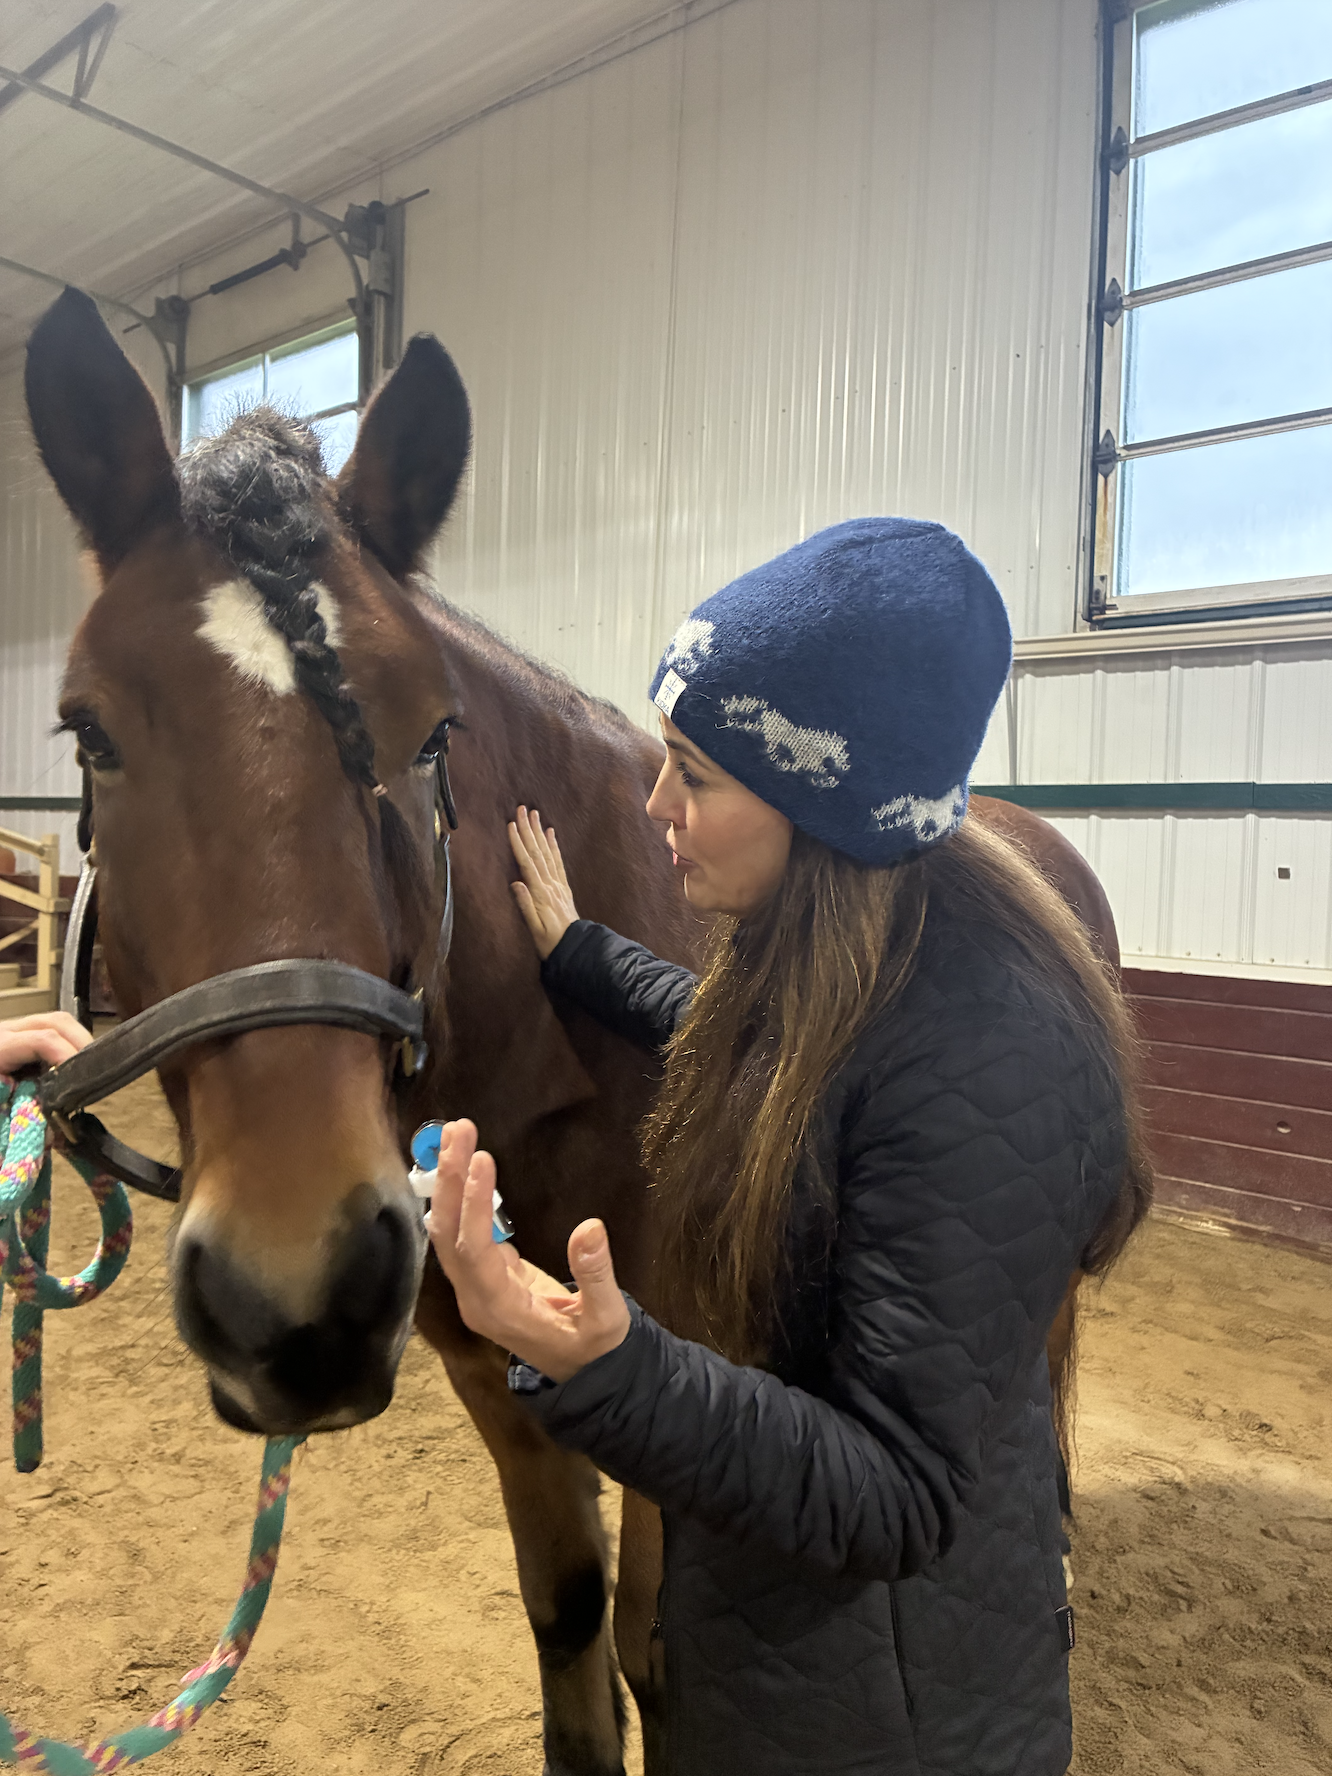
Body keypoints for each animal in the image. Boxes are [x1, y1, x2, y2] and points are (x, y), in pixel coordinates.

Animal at [25, 287, 1119, 1776]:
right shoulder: (505, 1370)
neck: (547, 1049)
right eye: (89, 732)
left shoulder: (688, 1358)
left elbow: (661, 1648)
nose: (296, 1296)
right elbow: (571, 1633)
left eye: (432, 732)